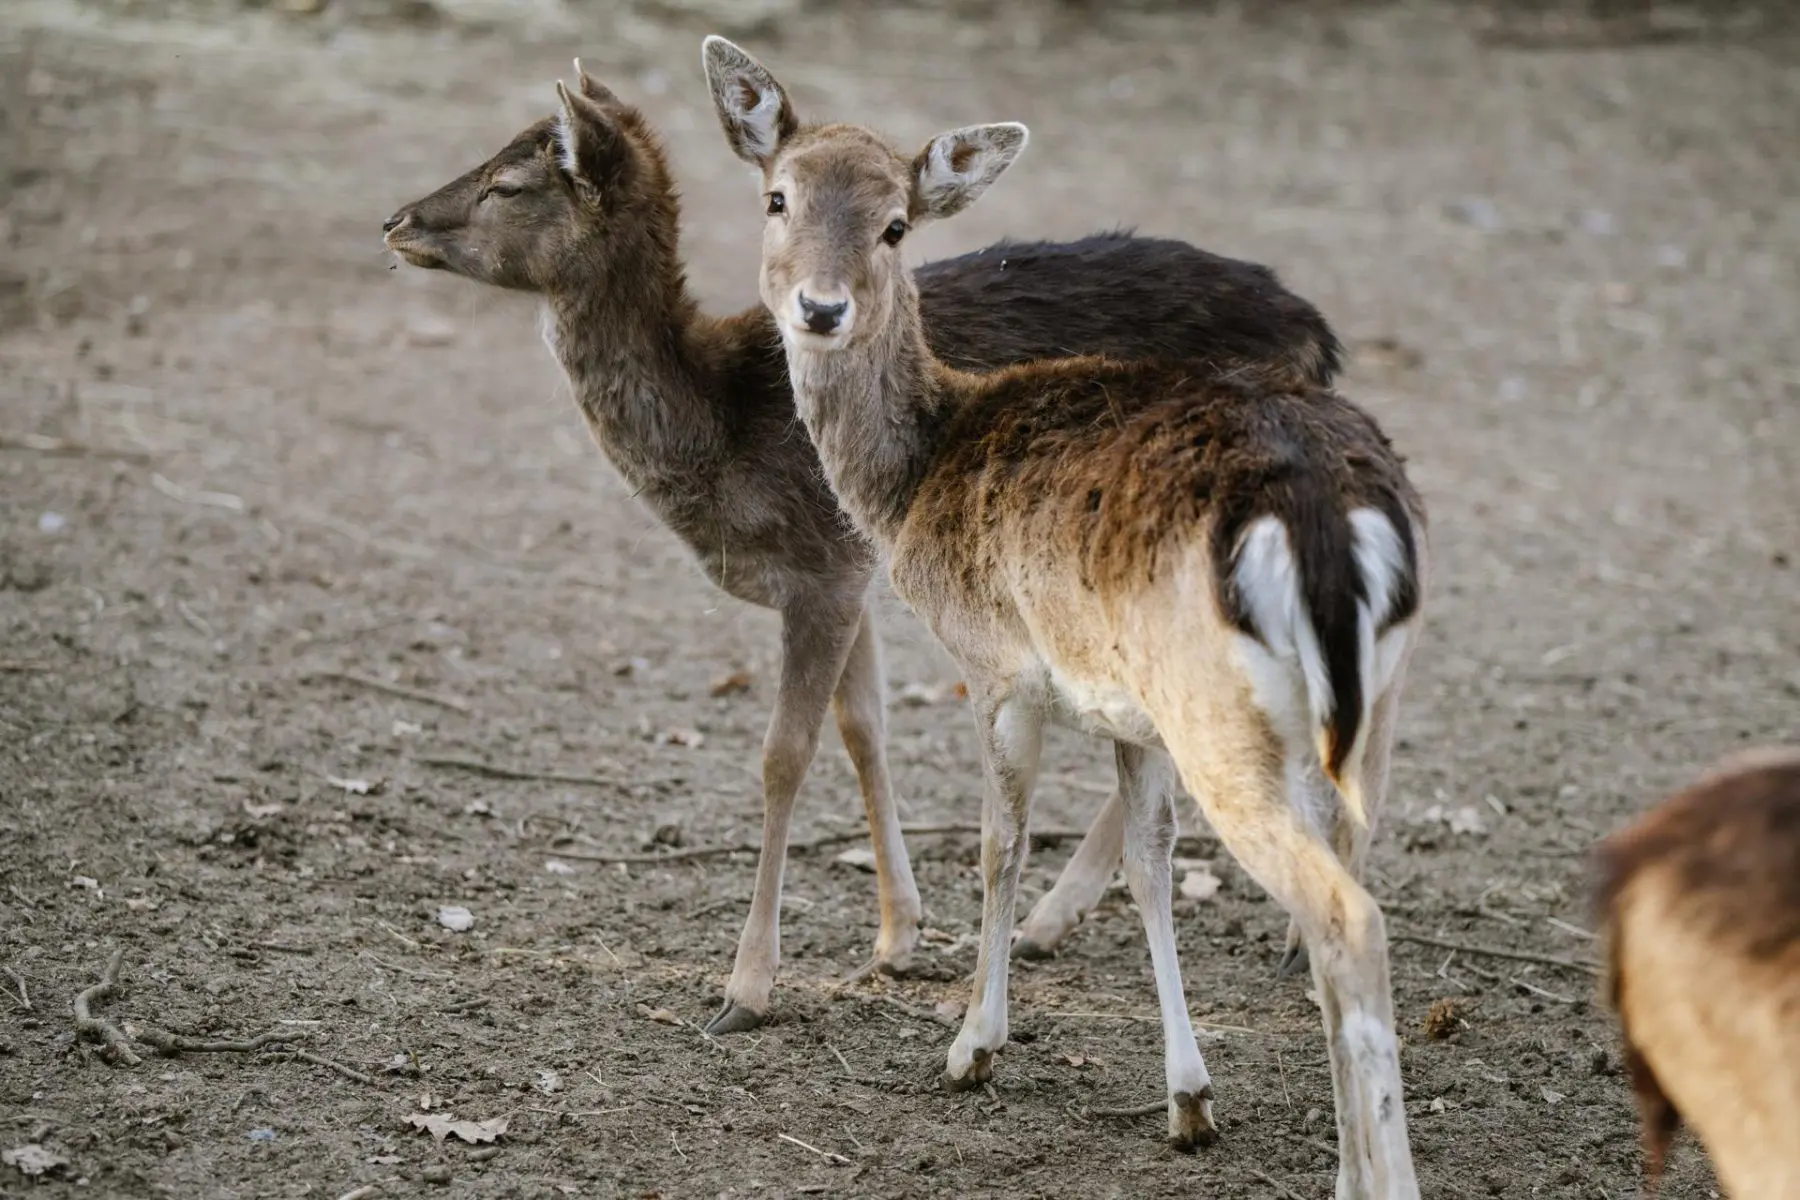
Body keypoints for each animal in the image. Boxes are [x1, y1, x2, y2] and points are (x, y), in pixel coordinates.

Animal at [381, 62, 1348, 1035]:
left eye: (508, 184)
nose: (396, 223)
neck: (725, 440)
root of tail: (1321, 333)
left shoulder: (824, 571)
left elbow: (784, 754)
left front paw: (746, 989)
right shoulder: (850, 569)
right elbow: (863, 727)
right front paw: (898, 937)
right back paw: (1054, 920)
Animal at [702, 37, 1427, 1194]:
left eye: (896, 223)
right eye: (777, 197)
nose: (819, 309)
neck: (917, 471)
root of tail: (1325, 511)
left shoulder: (998, 665)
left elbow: (1001, 843)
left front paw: (971, 1047)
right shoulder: (1129, 710)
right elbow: (1149, 865)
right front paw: (1189, 1101)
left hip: (1222, 717)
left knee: (1344, 917)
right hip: (1347, 703)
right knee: (1349, 873)